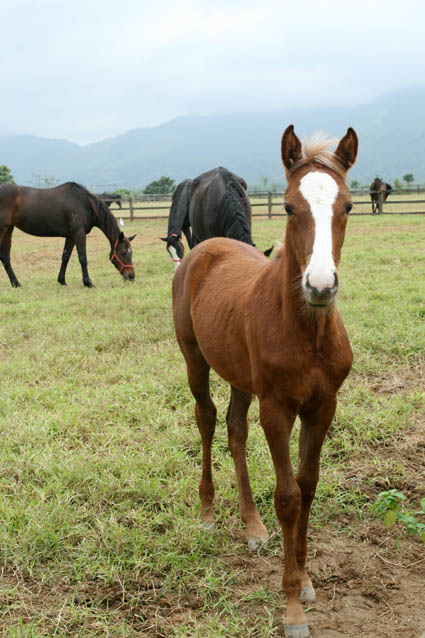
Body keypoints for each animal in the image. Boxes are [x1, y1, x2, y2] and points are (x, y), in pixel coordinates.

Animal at [0, 181, 135, 288]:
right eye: (123, 253)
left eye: (131, 252)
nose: (131, 276)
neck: (84, 203)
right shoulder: (79, 233)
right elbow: (83, 258)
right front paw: (88, 283)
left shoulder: (71, 236)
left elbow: (65, 257)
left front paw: (62, 281)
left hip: (8, 230)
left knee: (5, 257)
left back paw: (16, 283)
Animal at [172, 126, 358, 638]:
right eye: (290, 207)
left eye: (348, 206)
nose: (320, 285)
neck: (307, 331)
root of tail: (204, 248)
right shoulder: (277, 408)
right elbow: (288, 495)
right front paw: (292, 609)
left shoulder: (323, 406)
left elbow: (308, 486)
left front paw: (307, 580)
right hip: (195, 360)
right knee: (207, 420)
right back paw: (208, 513)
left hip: (240, 375)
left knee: (235, 429)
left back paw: (253, 527)